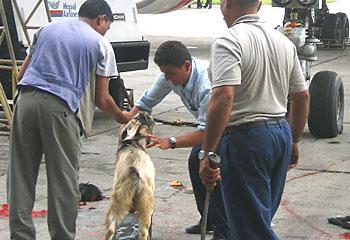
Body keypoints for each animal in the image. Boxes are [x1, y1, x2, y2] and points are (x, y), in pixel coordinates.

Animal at [104, 111, 155, 240]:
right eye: (148, 118)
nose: (142, 112)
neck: (134, 142)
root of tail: (134, 171)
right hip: (146, 206)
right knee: (143, 233)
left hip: (116, 202)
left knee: (110, 230)